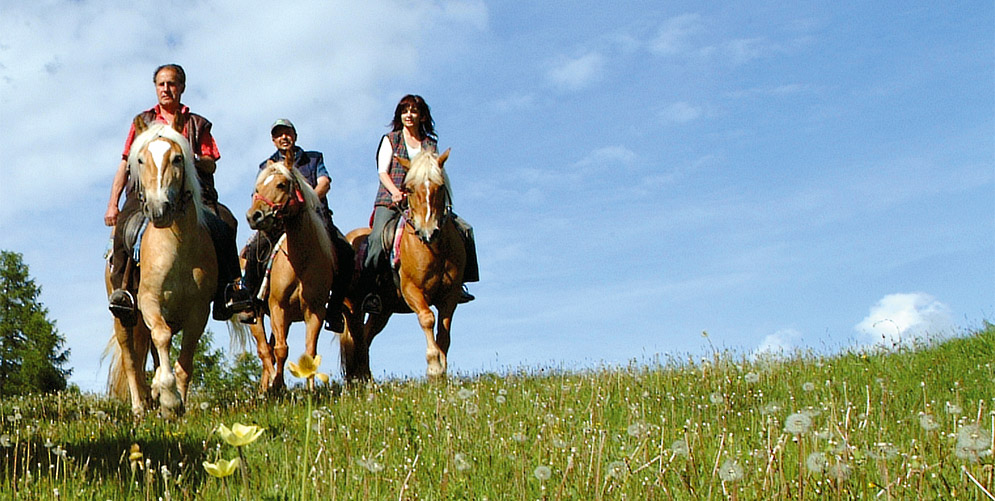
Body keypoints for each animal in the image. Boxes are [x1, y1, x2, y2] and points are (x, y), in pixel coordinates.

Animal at [246, 154, 336, 388]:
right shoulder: (278, 307)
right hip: (255, 315)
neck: (300, 261)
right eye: (257, 188)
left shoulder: (314, 311)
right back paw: (269, 385)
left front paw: (311, 389)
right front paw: (278, 384)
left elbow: (310, 352)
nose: (253, 216)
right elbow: (280, 350)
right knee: (264, 350)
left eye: (280, 184)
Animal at [342, 148, 466, 378]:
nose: (428, 231)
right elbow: (427, 319)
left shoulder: (450, 295)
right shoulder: (412, 290)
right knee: (357, 339)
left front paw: (443, 369)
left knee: (365, 336)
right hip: (352, 307)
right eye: (409, 189)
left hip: (383, 311)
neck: (433, 249)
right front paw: (434, 367)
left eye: (440, 186)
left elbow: (444, 332)